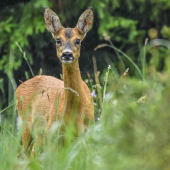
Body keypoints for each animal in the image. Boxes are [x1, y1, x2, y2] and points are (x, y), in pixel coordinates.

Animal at [16, 6, 94, 155]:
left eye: (78, 40)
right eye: (58, 40)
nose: (67, 54)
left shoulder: (87, 132)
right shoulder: (53, 134)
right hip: (27, 126)